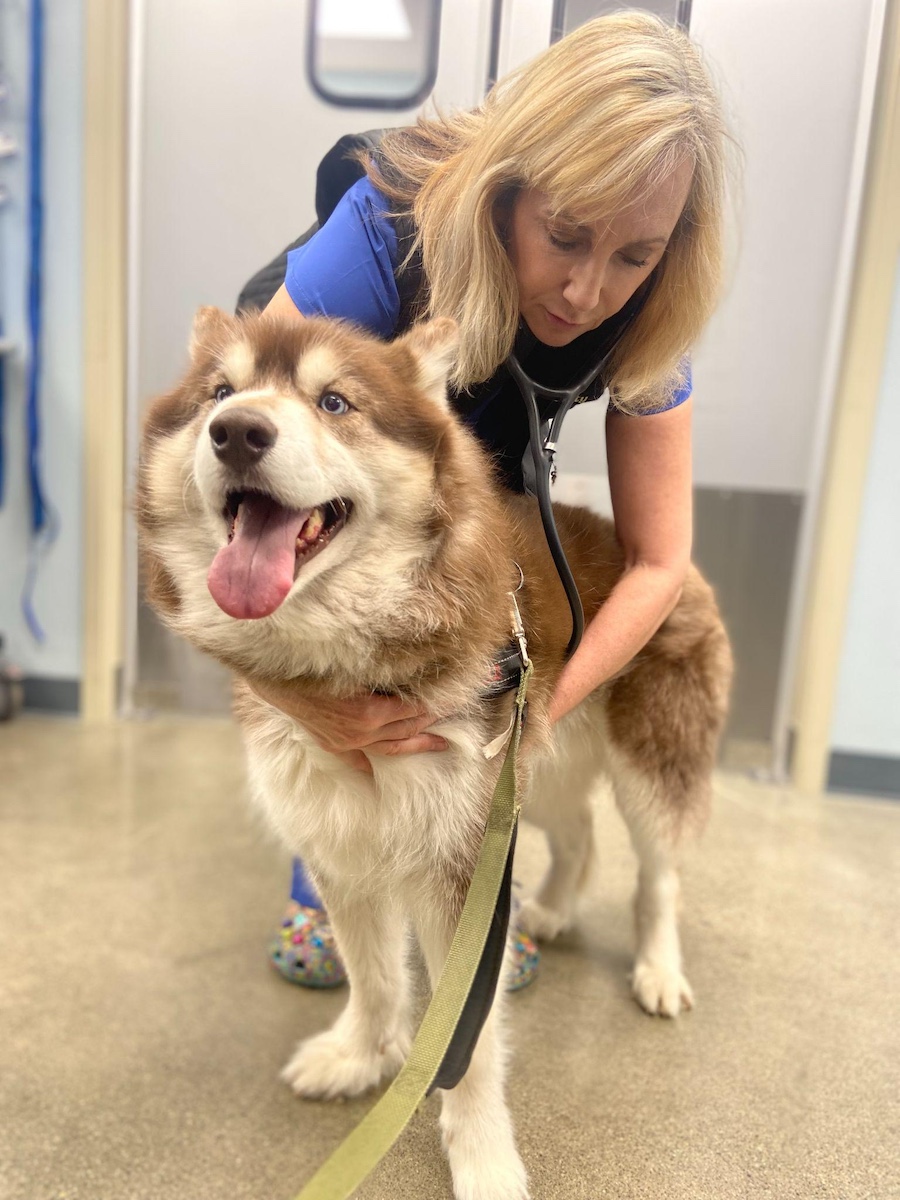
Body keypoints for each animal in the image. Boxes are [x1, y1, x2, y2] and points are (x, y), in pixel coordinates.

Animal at [137, 309, 734, 1200]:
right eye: (219, 392)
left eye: (336, 401)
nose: (237, 431)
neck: (348, 663)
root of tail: (658, 555)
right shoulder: (344, 846)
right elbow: (376, 977)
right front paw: (362, 1057)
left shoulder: (460, 865)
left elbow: (469, 1044)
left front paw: (483, 1156)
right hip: (530, 769)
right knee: (580, 836)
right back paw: (550, 910)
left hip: (647, 763)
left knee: (657, 874)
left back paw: (658, 970)